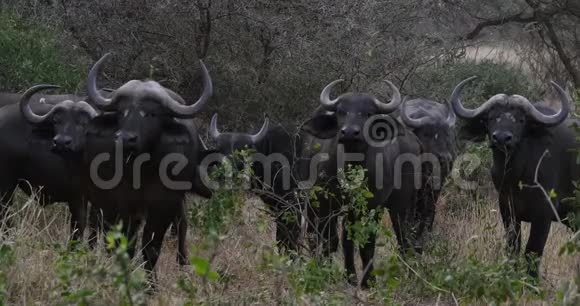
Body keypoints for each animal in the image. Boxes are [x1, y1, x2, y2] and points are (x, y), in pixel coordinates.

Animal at [300, 79, 422, 286]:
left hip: (400, 204)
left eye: (368, 113)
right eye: (341, 111)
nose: (349, 132)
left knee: (402, 235)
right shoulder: (326, 203)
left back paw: (410, 272)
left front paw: (367, 279)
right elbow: (329, 239)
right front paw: (329, 271)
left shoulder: (372, 206)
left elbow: (366, 242)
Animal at [448, 77, 576, 278]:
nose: (501, 138)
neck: (516, 175)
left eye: (521, 120)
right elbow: (513, 247)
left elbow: (533, 251)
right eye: (491, 117)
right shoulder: (507, 211)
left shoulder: (544, 214)